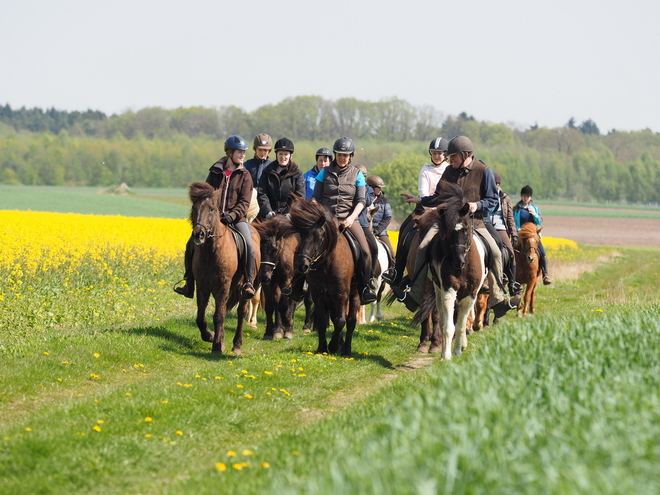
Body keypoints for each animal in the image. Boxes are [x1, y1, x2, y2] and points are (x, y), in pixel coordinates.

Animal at [187, 182, 260, 356]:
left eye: (212, 209)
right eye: (194, 207)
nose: (199, 234)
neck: (211, 252)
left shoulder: (223, 287)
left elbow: (219, 316)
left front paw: (217, 346)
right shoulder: (202, 287)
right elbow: (201, 317)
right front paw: (210, 336)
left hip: (243, 289)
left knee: (241, 312)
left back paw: (237, 345)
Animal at [286, 198, 360, 356]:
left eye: (318, 238)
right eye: (301, 236)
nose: (302, 265)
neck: (327, 263)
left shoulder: (341, 294)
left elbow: (340, 321)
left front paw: (334, 346)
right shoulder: (318, 294)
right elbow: (321, 321)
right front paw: (322, 348)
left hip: (355, 293)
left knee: (351, 321)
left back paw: (346, 350)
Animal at [418, 181, 490, 360]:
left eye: (466, 228)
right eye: (449, 231)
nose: (458, 262)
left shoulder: (470, 294)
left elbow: (461, 324)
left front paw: (457, 351)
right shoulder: (449, 291)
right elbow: (448, 326)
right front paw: (446, 354)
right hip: (438, 291)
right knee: (443, 318)